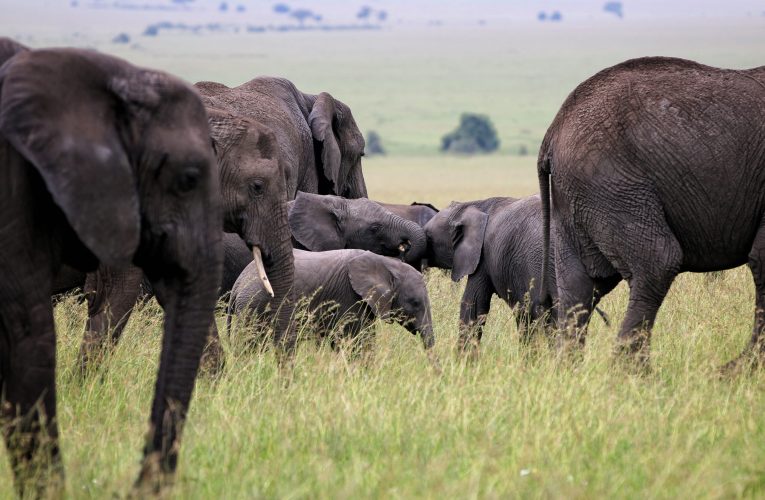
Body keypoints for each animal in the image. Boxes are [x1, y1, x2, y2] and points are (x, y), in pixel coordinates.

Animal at [229, 249, 435, 353]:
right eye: (415, 303)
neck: (387, 263)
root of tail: (238, 283)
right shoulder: (350, 297)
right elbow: (356, 341)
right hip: (254, 306)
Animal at [538, 56, 765, 370]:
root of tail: (554, 130)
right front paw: (740, 373)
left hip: (576, 197)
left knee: (579, 286)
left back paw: (569, 372)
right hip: (613, 184)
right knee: (658, 262)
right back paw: (636, 375)